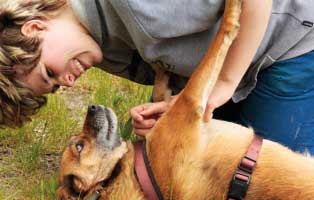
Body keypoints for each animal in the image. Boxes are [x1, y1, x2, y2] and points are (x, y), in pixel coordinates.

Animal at [56, 0, 314, 199]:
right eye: (79, 146)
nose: (92, 107)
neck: (136, 172)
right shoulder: (190, 101)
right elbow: (224, 33)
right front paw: (232, 9)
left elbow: (161, 93)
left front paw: (160, 71)